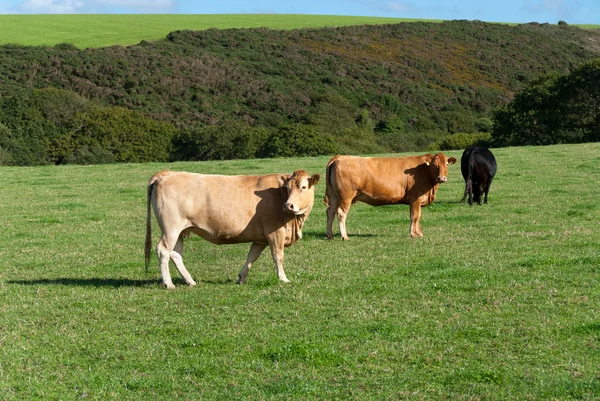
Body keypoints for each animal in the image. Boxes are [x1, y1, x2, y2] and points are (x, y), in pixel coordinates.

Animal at [146, 169, 322, 288]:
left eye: (303, 187)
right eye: (287, 188)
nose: (288, 205)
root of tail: (167, 173)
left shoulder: (261, 238)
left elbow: (252, 256)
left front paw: (241, 277)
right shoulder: (275, 233)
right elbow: (278, 256)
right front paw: (283, 278)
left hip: (181, 231)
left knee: (175, 254)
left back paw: (190, 280)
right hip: (171, 229)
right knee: (163, 251)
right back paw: (169, 283)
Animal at [326, 152, 458, 239]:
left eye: (447, 164)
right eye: (434, 165)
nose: (441, 178)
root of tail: (339, 157)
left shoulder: (419, 199)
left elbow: (418, 216)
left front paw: (419, 233)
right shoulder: (415, 198)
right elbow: (414, 216)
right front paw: (413, 234)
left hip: (333, 196)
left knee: (330, 212)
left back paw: (330, 235)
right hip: (346, 196)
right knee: (341, 213)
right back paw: (345, 236)